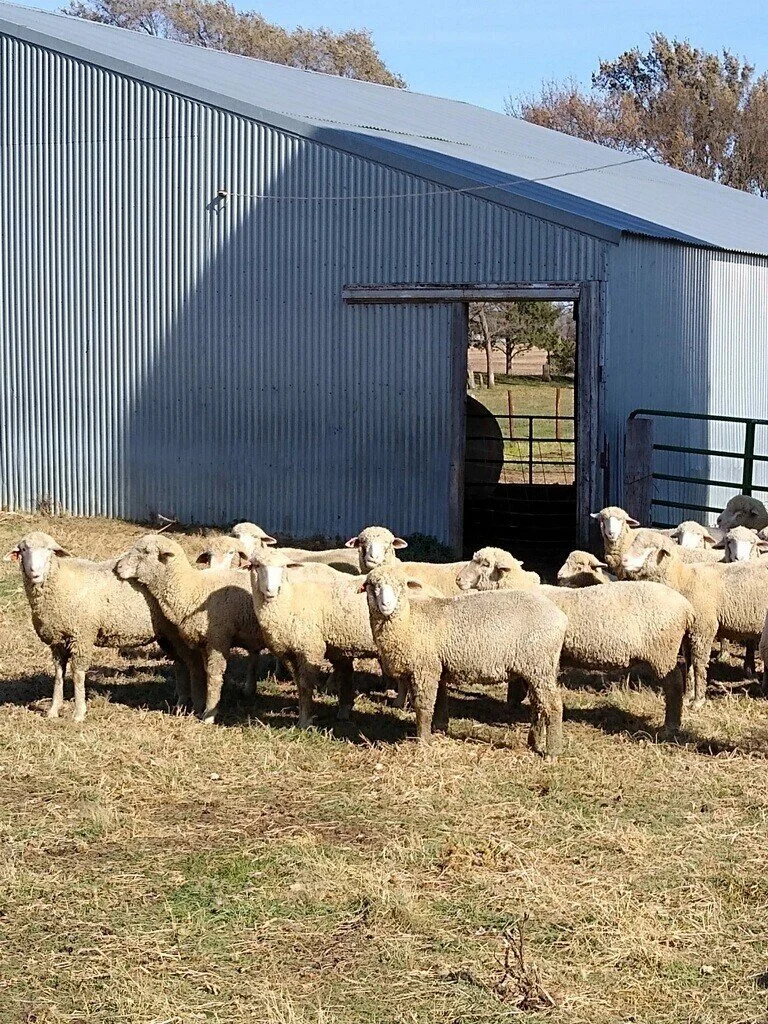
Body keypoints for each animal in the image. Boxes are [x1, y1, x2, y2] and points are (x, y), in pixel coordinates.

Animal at [3, 532, 202, 721]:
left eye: (49, 550)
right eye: (23, 550)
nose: (34, 573)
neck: (62, 580)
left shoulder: (81, 636)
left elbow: (77, 674)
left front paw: (79, 713)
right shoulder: (58, 641)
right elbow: (59, 674)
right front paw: (53, 709)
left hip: (177, 635)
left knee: (189, 664)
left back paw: (186, 703)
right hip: (166, 636)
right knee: (181, 664)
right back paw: (179, 705)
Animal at [115, 535, 265, 724]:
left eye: (146, 551)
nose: (118, 567)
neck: (193, 589)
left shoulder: (218, 639)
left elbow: (214, 675)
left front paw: (209, 715)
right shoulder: (204, 642)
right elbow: (204, 672)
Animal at [361, 564, 567, 757]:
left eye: (401, 585)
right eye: (373, 586)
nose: (386, 604)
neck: (410, 621)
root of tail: (560, 617)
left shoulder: (425, 668)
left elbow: (423, 706)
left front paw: (424, 741)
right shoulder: (439, 665)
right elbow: (441, 699)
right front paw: (440, 728)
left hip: (540, 665)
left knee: (553, 705)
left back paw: (553, 751)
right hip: (535, 668)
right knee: (538, 704)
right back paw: (534, 742)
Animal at [457, 546, 691, 733]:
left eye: (485, 564)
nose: (458, 579)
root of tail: (685, 605)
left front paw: (512, 704)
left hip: (662, 651)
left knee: (674, 684)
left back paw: (671, 725)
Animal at [621, 536, 768, 707]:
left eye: (650, 547)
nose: (624, 559)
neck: (683, 580)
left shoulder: (703, 630)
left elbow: (698, 665)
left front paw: (698, 700)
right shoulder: (688, 634)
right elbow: (688, 664)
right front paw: (687, 697)